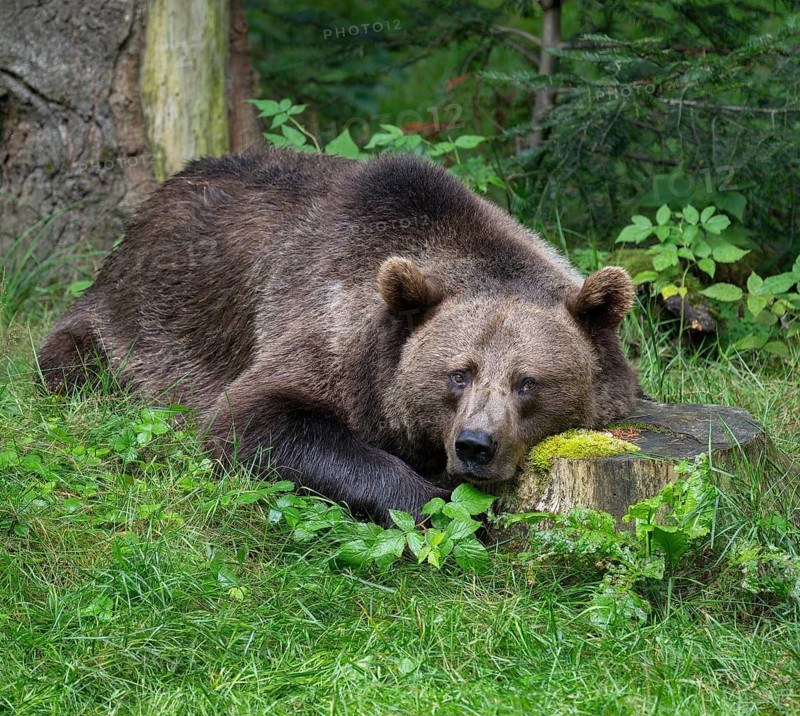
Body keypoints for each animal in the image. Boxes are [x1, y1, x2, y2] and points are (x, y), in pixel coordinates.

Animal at [37, 149, 638, 525]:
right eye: (458, 374)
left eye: (527, 382)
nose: (475, 444)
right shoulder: (327, 330)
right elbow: (254, 419)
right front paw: (436, 500)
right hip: (127, 326)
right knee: (75, 363)